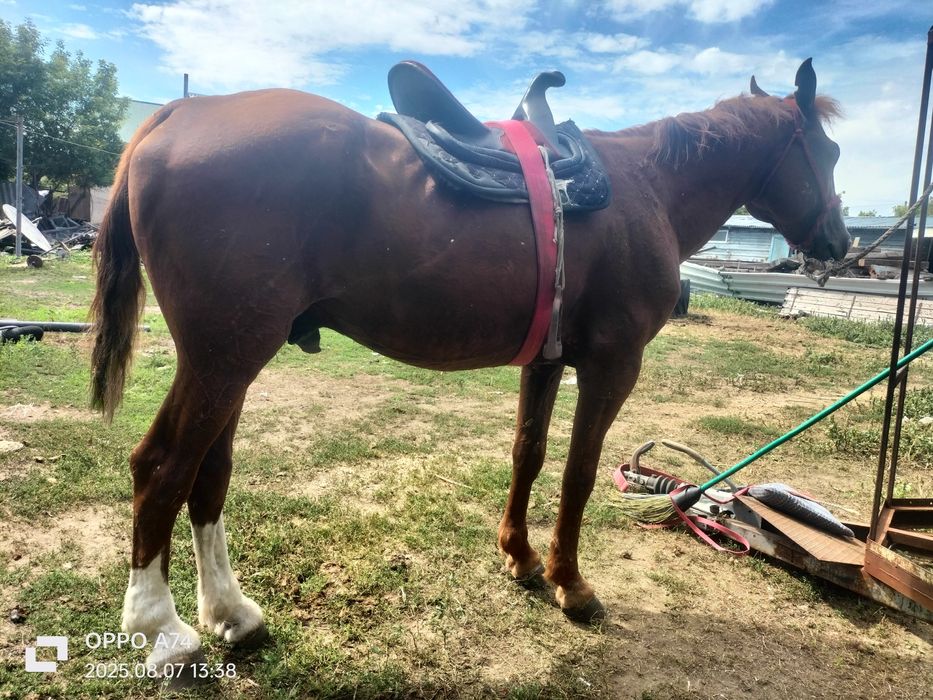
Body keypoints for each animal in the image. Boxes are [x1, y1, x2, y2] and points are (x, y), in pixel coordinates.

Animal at [90, 58, 849, 679]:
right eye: (829, 151)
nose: (839, 243)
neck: (648, 187)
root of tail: (179, 113)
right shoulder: (612, 364)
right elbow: (577, 473)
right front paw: (571, 582)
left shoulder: (547, 361)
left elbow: (528, 453)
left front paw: (520, 557)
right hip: (224, 358)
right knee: (162, 468)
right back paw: (162, 630)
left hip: (230, 361)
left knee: (206, 476)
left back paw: (230, 612)